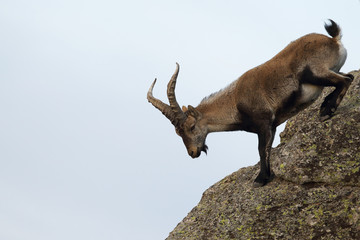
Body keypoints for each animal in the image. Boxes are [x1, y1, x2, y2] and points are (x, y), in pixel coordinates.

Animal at [148, 19, 352, 187]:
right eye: (177, 132)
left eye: (191, 127)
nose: (192, 152)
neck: (234, 101)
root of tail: (334, 40)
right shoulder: (272, 125)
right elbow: (267, 149)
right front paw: (267, 176)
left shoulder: (263, 121)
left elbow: (261, 149)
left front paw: (260, 179)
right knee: (348, 77)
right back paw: (326, 106)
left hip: (316, 72)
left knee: (345, 80)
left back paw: (327, 110)